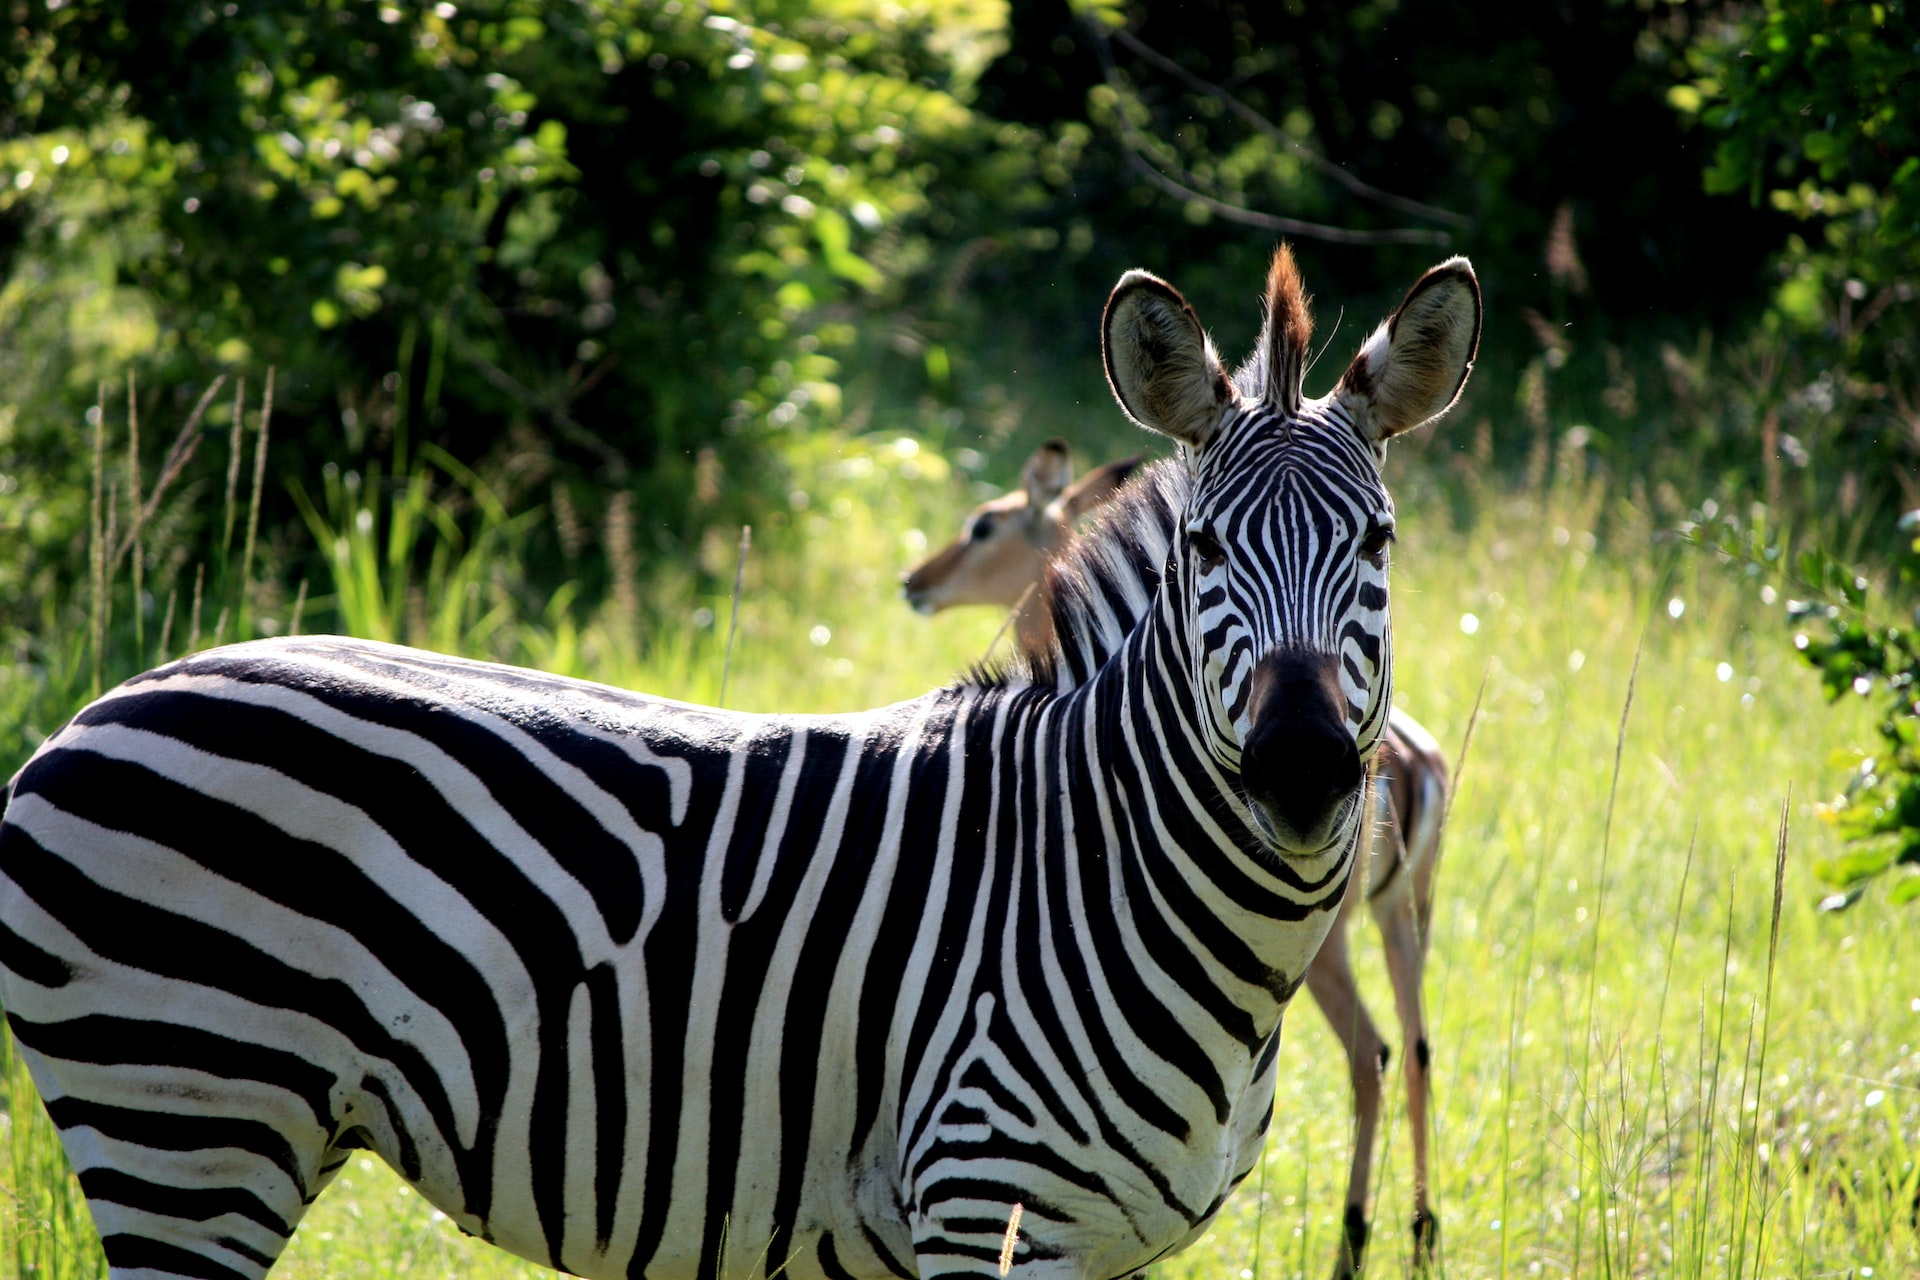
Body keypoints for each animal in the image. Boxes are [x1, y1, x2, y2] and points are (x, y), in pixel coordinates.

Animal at [898, 445, 1451, 1274]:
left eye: (983, 525)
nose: (916, 582)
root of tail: (1411, 763)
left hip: (1331, 947)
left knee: (1373, 1053)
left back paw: (1353, 1240)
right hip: (1404, 918)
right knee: (1416, 1050)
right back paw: (1419, 1233)